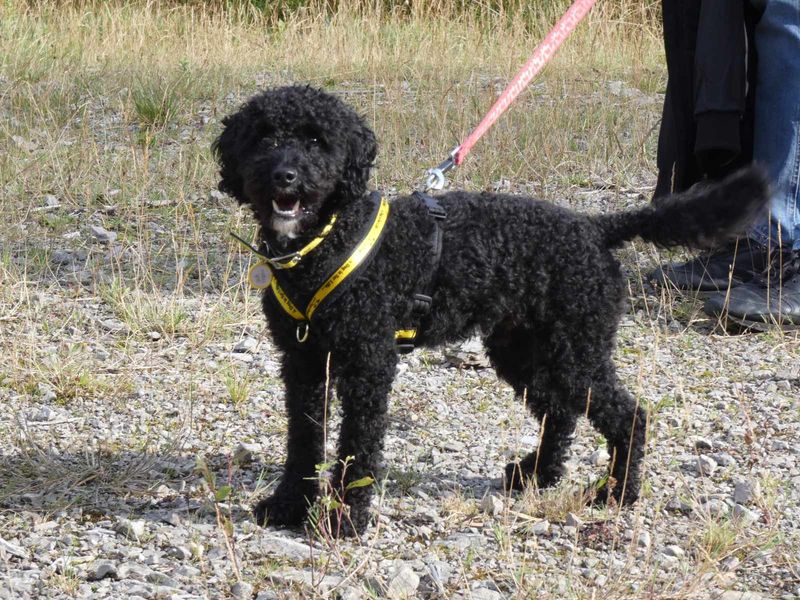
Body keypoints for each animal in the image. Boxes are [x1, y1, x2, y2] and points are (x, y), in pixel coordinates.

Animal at [214, 84, 768, 536]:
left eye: (316, 141)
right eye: (264, 138)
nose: (285, 176)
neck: (323, 243)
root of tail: (596, 228)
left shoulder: (367, 363)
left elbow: (358, 445)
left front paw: (344, 519)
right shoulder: (303, 362)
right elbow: (303, 439)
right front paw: (289, 506)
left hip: (576, 351)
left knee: (628, 415)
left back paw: (617, 492)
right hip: (522, 349)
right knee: (559, 412)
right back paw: (536, 474)